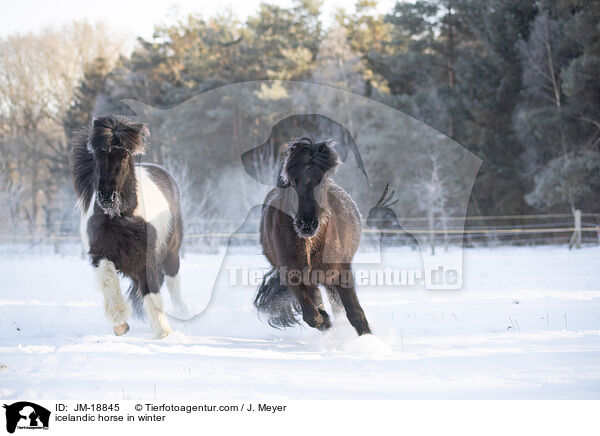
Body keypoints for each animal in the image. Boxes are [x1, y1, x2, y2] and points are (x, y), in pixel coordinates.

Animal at [71, 115, 188, 338]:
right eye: (97, 155)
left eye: (124, 156)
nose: (107, 197)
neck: (121, 218)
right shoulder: (100, 254)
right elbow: (109, 282)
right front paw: (120, 323)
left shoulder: (147, 258)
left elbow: (152, 292)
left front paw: (163, 332)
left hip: (171, 252)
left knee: (174, 282)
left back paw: (183, 315)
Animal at [254, 138, 370, 336]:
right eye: (293, 181)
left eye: (321, 181)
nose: (307, 223)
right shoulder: (292, 274)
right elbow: (312, 316)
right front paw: (325, 323)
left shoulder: (342, 271)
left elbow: (356, 313)